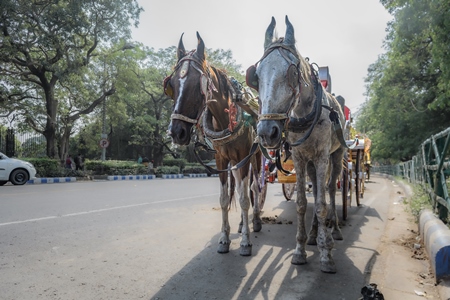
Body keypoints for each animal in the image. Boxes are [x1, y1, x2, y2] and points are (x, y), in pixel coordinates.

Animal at [165, 33, 262, 258]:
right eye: (171, 84)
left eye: (196, 83)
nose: (176, 132)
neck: (226, 119)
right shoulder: (221, 159)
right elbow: (225, 199)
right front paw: (224, 239)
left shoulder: (244, 156)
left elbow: (245, 198)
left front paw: (246, 243)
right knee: (241, 187)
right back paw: (242, 224)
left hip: (256, 157)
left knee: (254, 187)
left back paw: (255, 221)